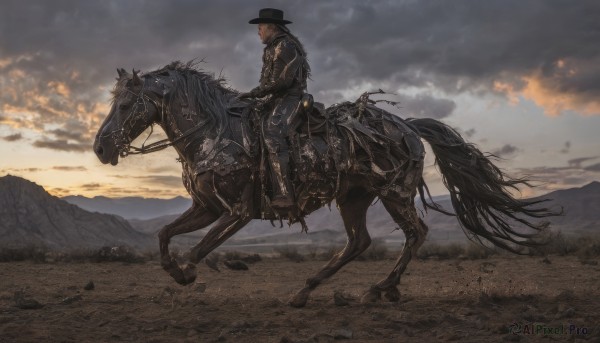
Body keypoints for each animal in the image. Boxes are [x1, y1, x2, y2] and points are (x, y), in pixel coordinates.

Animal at [94, 61, 556, 310]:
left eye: (126, 104)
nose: (100, 148)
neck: (216, 132)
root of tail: (407, 126)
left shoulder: (237, 212)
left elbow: (202, 246)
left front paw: (188, 272)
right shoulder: (207, 207)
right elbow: (163, 234)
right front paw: (175, 271)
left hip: (395, 193)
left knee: (415, 234)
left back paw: (380, 288)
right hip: (355, 199)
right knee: (359, 242)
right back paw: (308, 290)